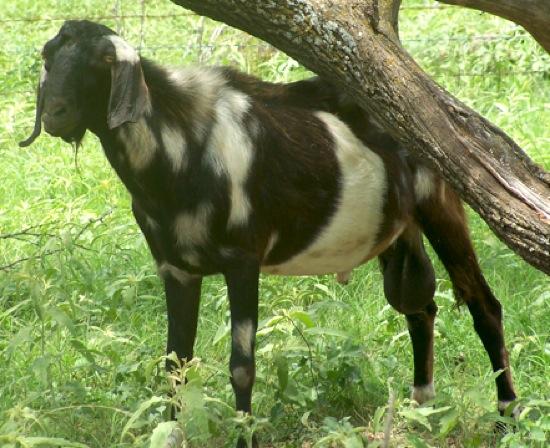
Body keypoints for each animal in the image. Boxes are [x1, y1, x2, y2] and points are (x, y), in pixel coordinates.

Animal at [21, 21, 520, 448]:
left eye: (103, 61)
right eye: (48, 56)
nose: (55, 114)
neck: (184, 146)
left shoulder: (243, 261)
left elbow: (242, 367)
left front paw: (246, 437)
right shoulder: (176, 268)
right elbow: (174, 365)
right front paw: (171, 432)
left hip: (441, 207)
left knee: (484, 306)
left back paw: (505, 420)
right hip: (399, 232)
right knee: (418, 307)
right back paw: (419, 410)